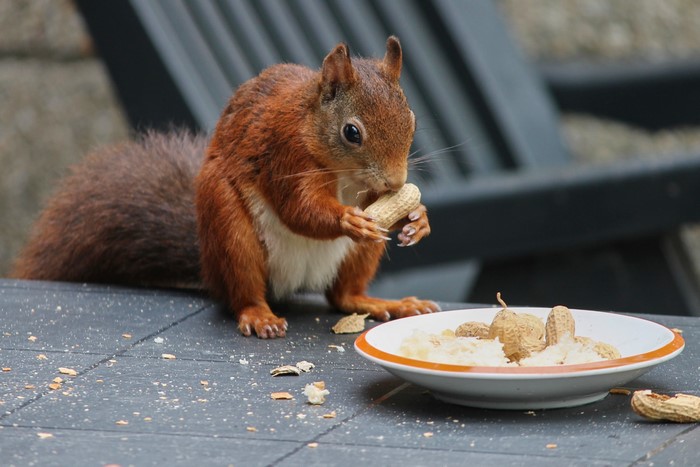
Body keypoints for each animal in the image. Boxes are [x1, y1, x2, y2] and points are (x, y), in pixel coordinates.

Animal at [12, 36, 440, 338]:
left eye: (411, 119)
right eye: (352, 132)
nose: (397, 181)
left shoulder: (368, 191)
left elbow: (378, 202)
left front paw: (416, 219)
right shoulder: (284, 154)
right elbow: (299, 210)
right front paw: (350, 220)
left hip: (356, 258)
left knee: (343, 296)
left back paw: (387, 303)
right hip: (230, 228)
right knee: (244, 291)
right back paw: (260, 316)